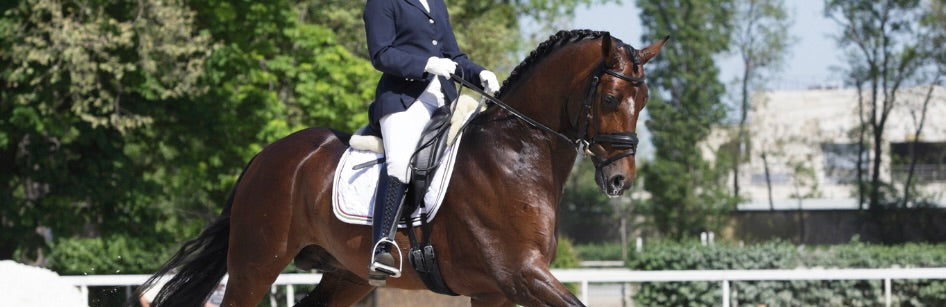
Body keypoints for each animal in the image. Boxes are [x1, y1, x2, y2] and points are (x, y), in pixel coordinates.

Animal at [142, 29, 664, 307]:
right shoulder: (520, 274)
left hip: (345, 275)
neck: (516, 153)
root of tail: (267, 156)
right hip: (255, 264)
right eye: (611, 98)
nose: (620, 180)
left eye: (643, 102)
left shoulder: (496, 289)